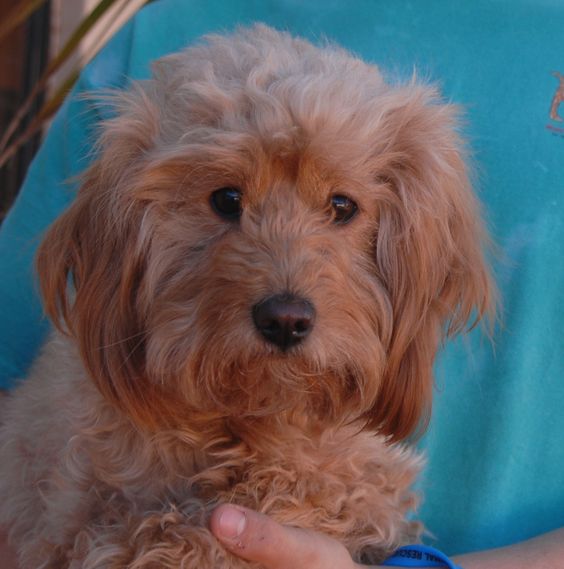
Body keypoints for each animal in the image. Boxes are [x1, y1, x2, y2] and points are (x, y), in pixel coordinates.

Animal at [0, 25, 494, 568]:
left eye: (343, 206)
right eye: (226, 199)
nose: (286, 320)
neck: (247, 422)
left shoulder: (355, 481)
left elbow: (321, 488)